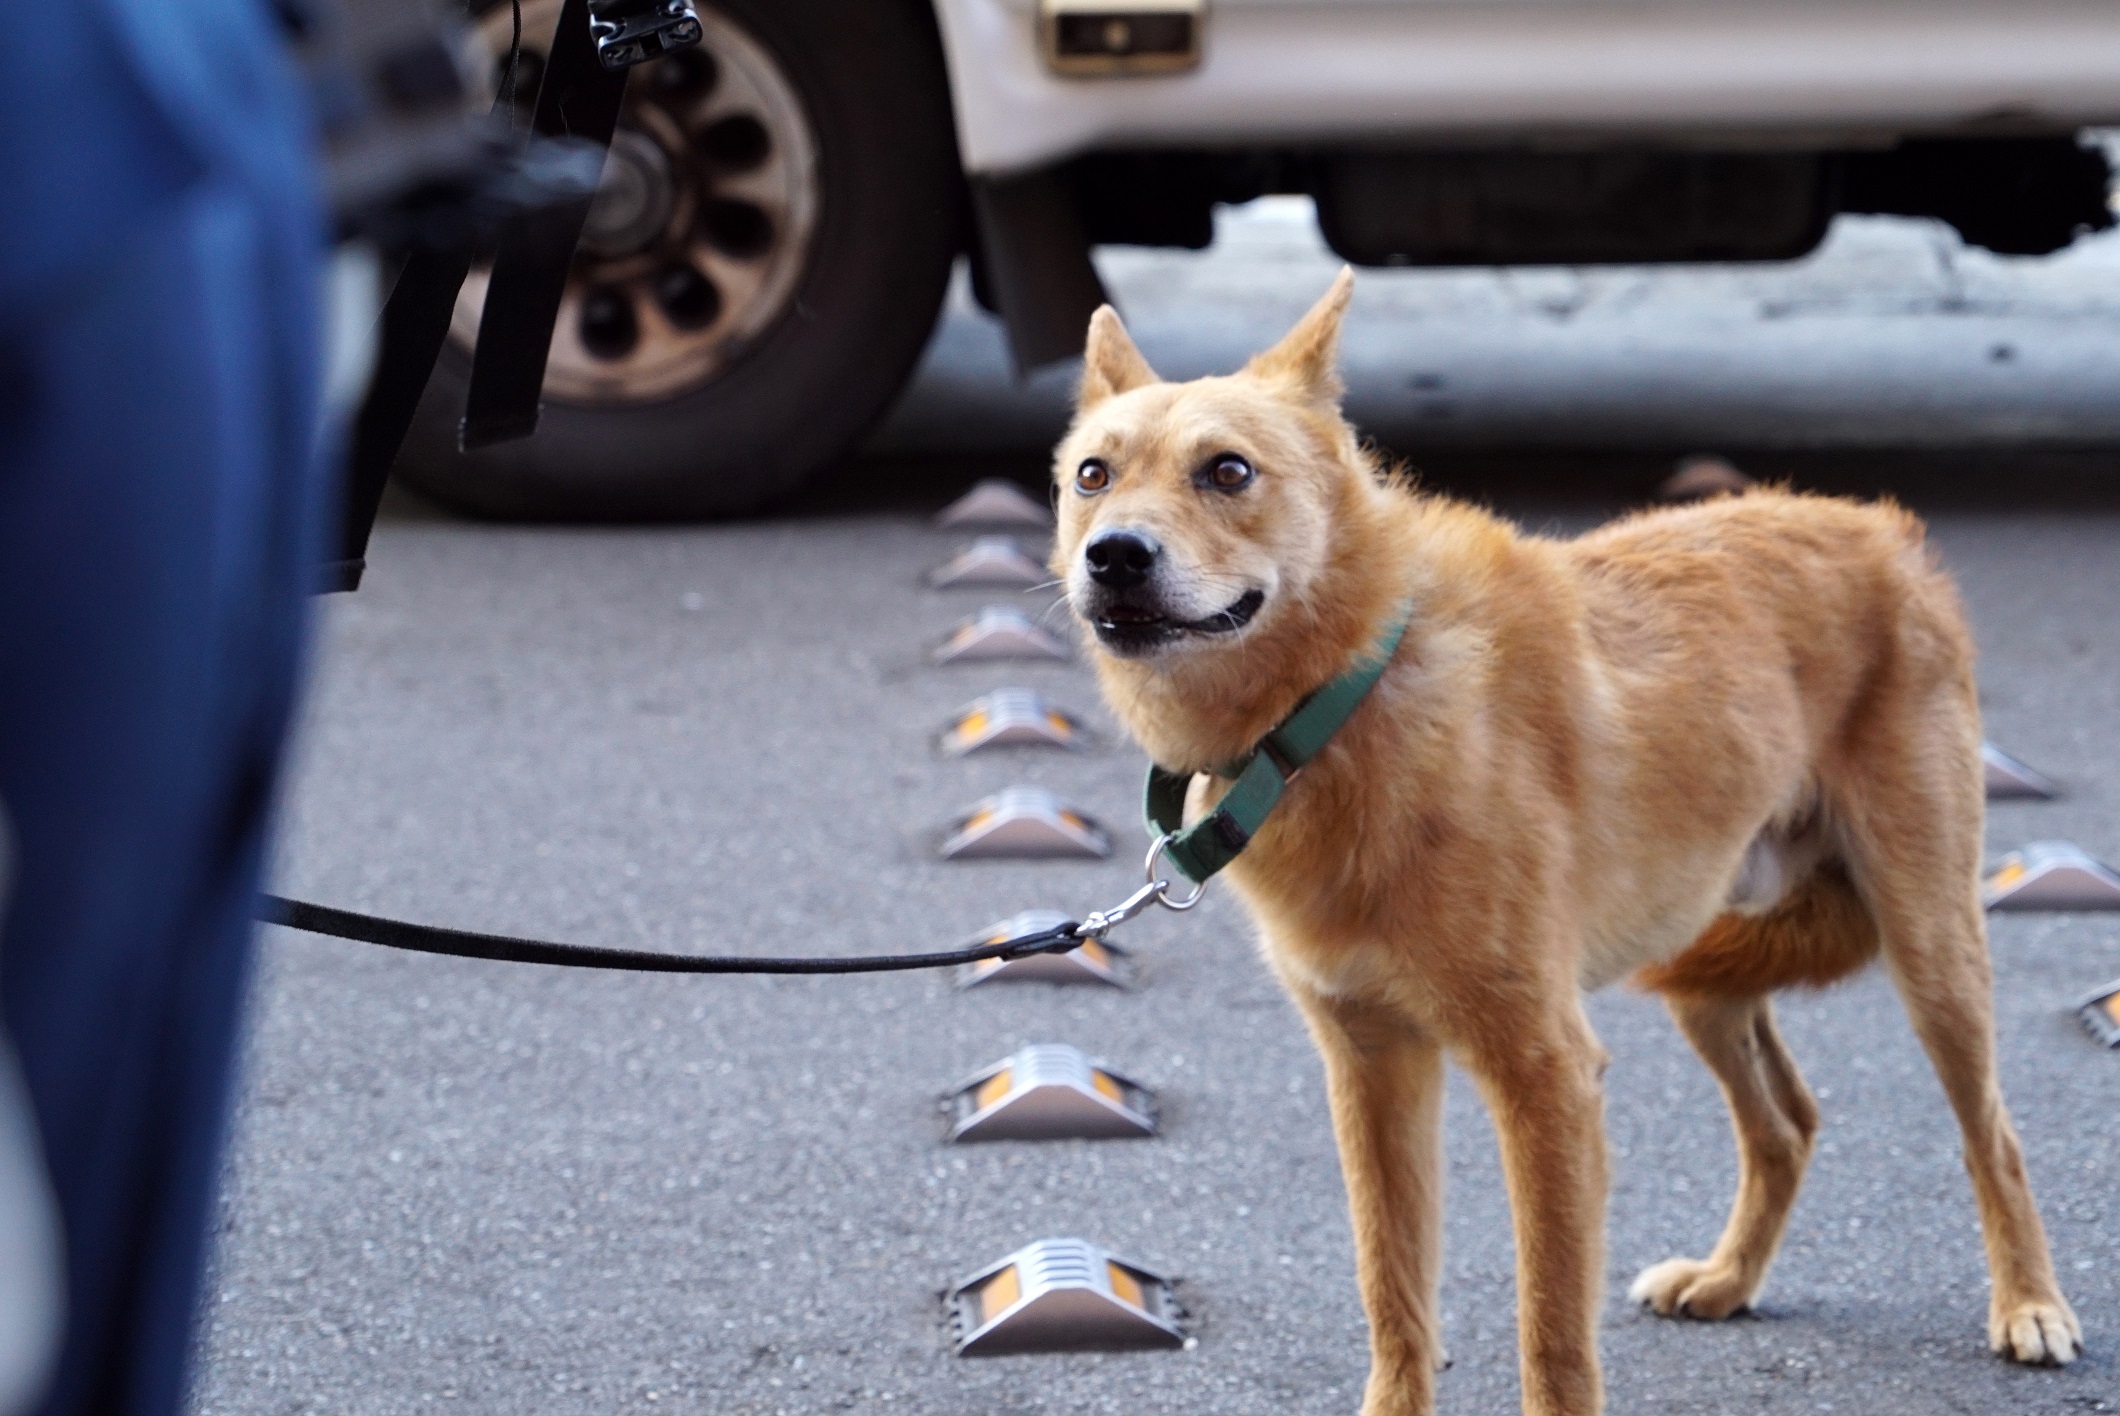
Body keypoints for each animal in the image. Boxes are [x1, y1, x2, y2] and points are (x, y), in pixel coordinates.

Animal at [1051, 273, 2077, 1416]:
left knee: (1993, 1136)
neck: (1346, 703)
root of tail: (1882, 530)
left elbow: (1549, 1333)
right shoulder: (1372, 1069)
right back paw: (1729, 1278)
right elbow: (1393, 1293)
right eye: (1093, 476)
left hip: (1930, 950)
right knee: (1786, 1124)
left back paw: (2029, 1304)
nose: (1113, 556)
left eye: (1227, 471)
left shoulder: (1544, 1077)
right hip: (1701, 975)